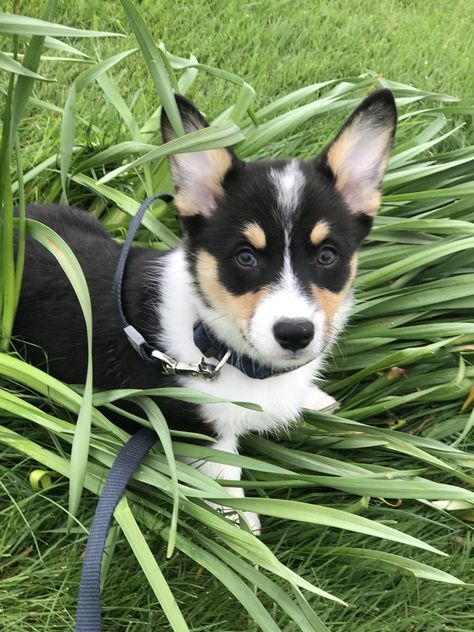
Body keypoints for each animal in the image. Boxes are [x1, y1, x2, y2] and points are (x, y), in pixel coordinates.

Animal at [12, 89, 396, 532]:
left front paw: (313, 399)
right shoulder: (201, 434)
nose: (296, 334)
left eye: (327, 255)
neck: (219, 346)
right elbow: (224, 478)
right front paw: (243, 528)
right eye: (245, 257)